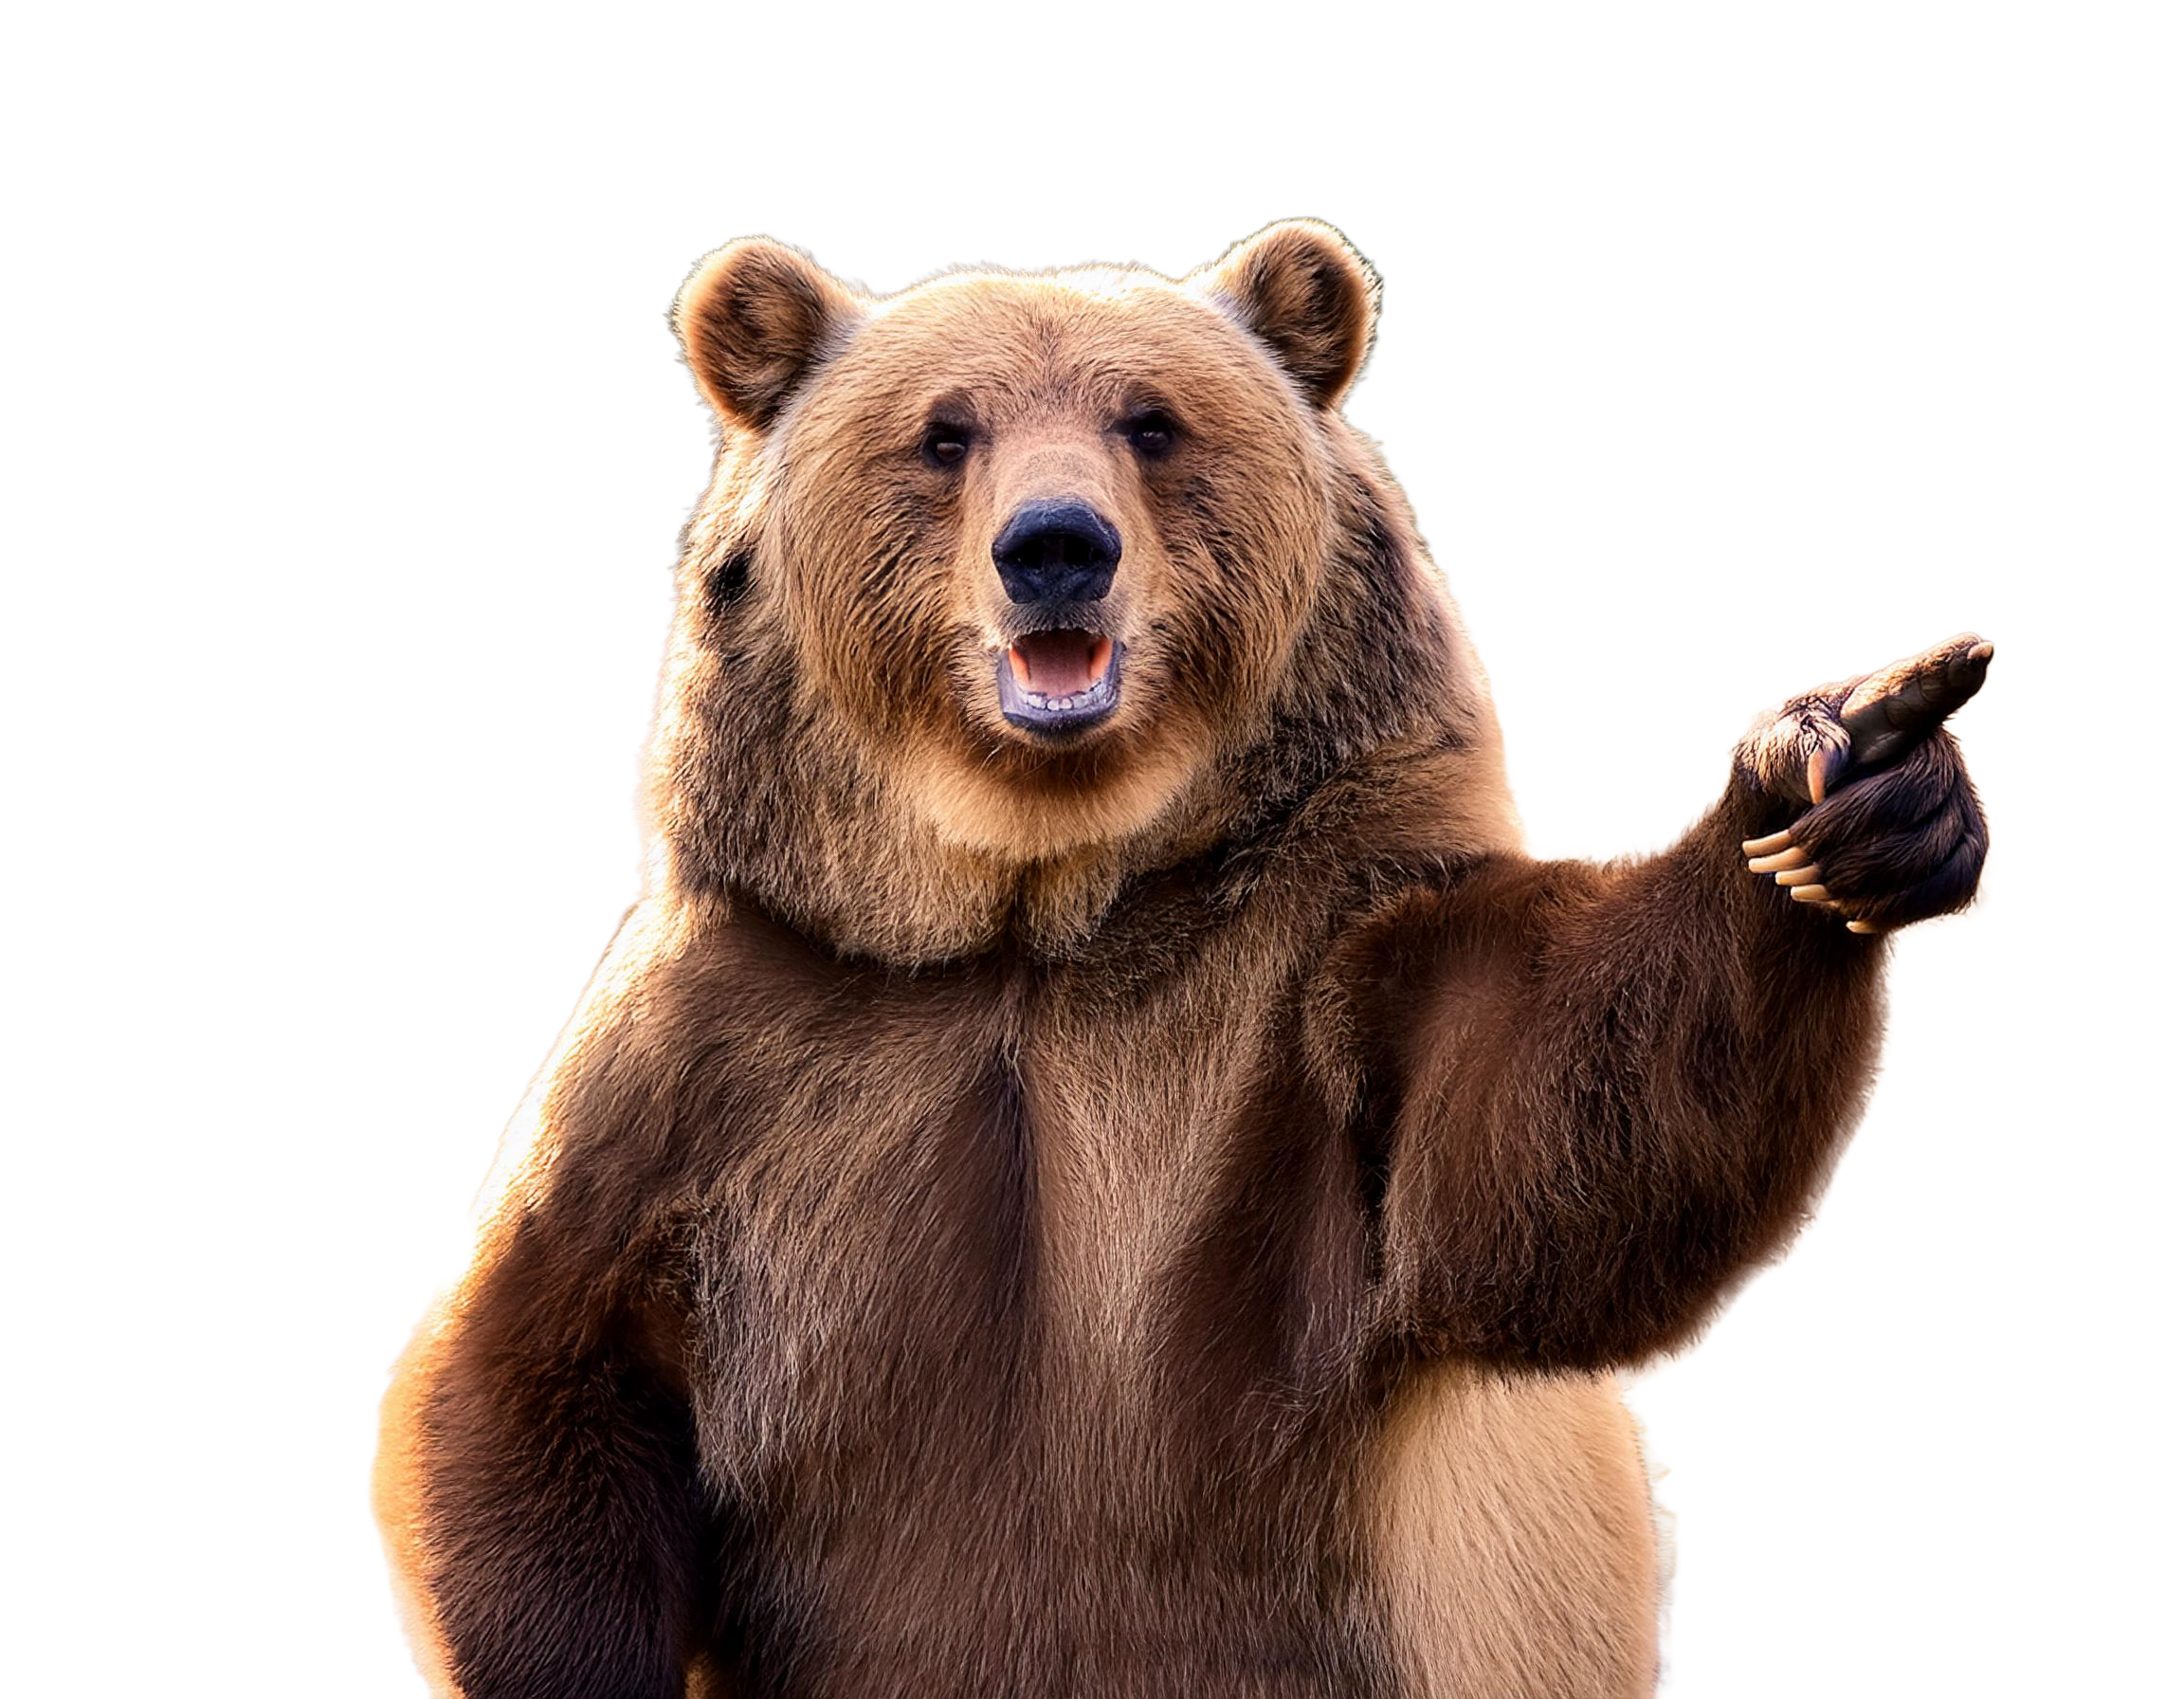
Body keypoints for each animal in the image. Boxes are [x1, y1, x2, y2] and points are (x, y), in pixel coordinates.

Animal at [364, 219, 1992, 1698]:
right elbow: (535, 1366)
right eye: (944, 432)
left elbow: (1546, 1147)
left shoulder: (1297, 992)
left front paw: (1846, 779)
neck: (1029, 910)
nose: (1055, 548)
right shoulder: (750, 1033)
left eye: (1151, 421)